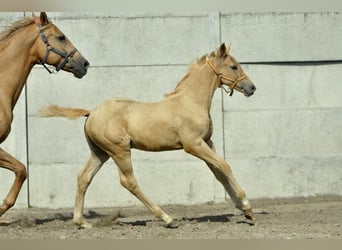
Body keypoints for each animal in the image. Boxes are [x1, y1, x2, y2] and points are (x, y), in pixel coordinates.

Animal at [40, 43, 254, 229]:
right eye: (234, 66)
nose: (252, 88)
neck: (190, 103)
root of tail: (91, 112)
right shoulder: (193, 145)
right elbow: (224, 165)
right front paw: (247, 205)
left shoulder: (207, 142)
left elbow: (218, 171)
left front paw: (244, 211)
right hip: (119, 150)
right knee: (128, 181)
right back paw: (167, 218)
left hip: (100, 152)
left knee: (84, 177)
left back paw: (81, 222)